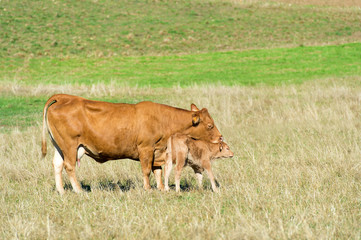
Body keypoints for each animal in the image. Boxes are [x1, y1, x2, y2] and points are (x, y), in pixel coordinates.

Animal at [42, 94, 222, 193]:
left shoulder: (157, 151)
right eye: (209, 125)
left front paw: (161, 188)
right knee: (69, 166)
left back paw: (61, 191)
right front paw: (148, 188)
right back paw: (78, 190)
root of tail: (64, 97)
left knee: (57, 164)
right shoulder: (146, 149)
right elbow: (146, 170)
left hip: (60, 146)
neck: (163, 120)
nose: (220, 137)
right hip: (70, 146)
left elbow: (157, 170)